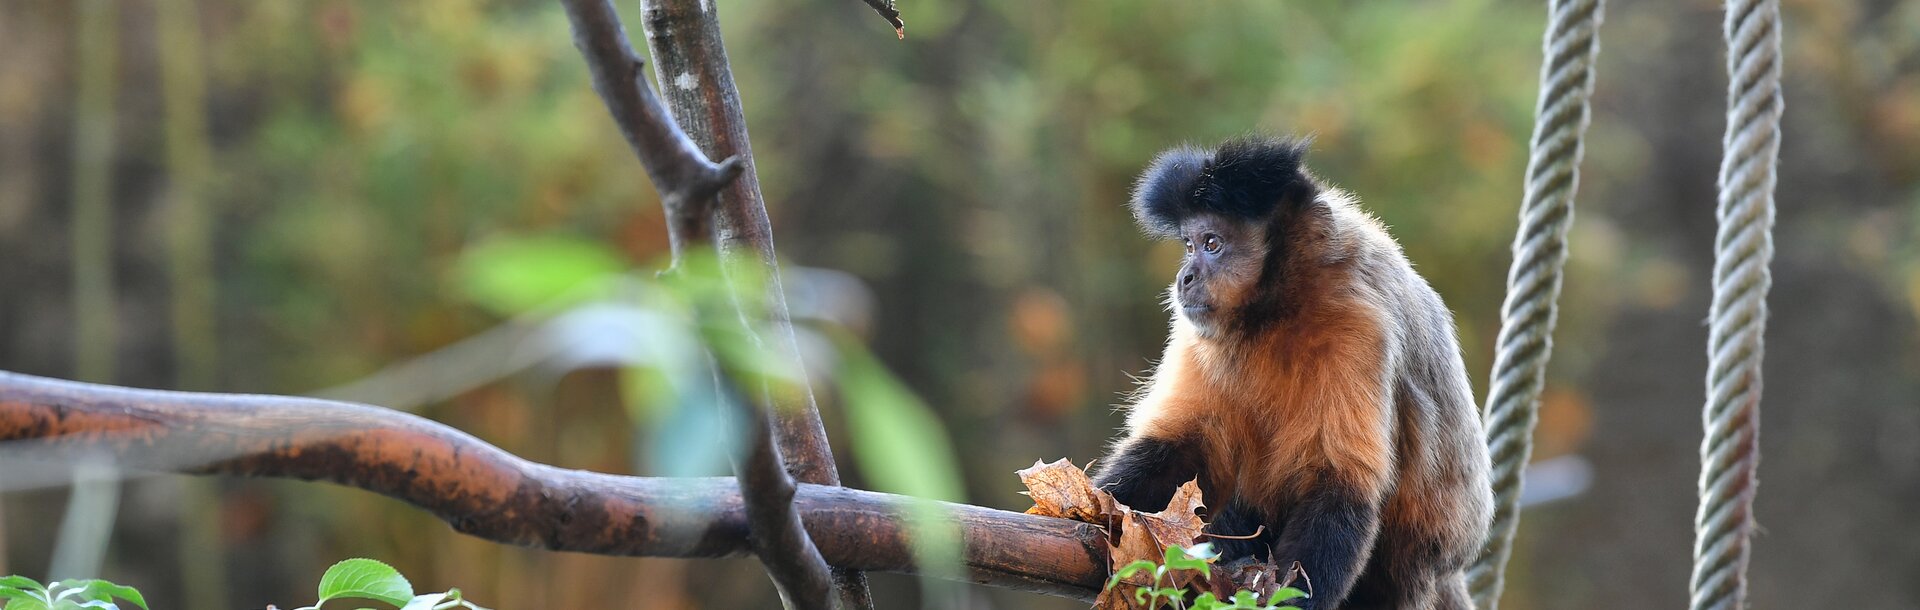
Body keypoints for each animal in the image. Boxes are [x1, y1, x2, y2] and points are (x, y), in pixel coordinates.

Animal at [1098, 136, 1482, 606]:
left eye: (1212, 244)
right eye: (1189, 245)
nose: (1184, 277)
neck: (1278, 312)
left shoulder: (1359, 325)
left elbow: (1340, 486)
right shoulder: (1198, 333)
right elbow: (1178, 447)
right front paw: (1089, 504)